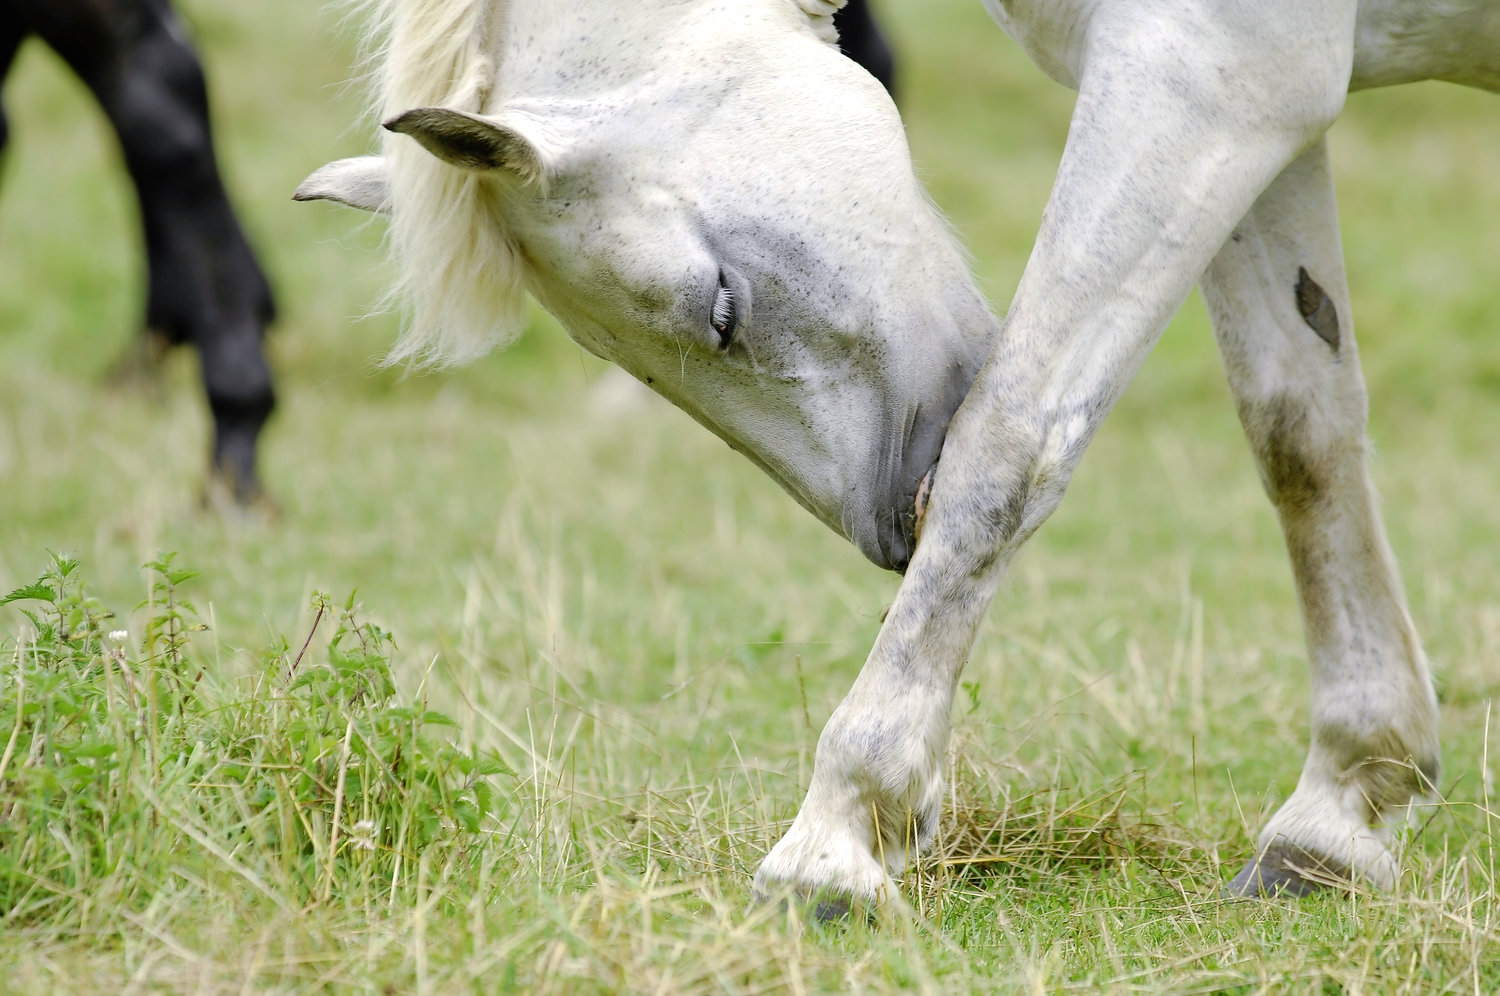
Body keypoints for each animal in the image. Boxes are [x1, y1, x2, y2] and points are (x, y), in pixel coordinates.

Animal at [297, 0, 1496, 915]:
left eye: (721, 309)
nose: (886, 527)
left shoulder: (1208, 75)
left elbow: (1009, 442)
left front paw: (836, 840)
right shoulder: (1270, 111)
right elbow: (1300, 426)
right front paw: (1341, 808)